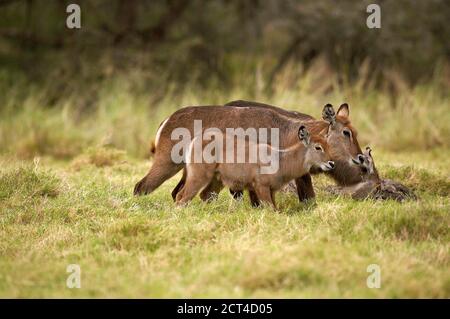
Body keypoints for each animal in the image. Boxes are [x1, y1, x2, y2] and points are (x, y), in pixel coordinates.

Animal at [176, 125, 334, 210]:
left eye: (328, 145)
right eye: (318, 147)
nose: (331, 163)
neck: (281, 160)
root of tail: (194, 140)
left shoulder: (272, 190)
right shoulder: (260, 186)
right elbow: (272, 209)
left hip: (217, 180)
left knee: (205, 195)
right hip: (199, 176)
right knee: (182, 197)